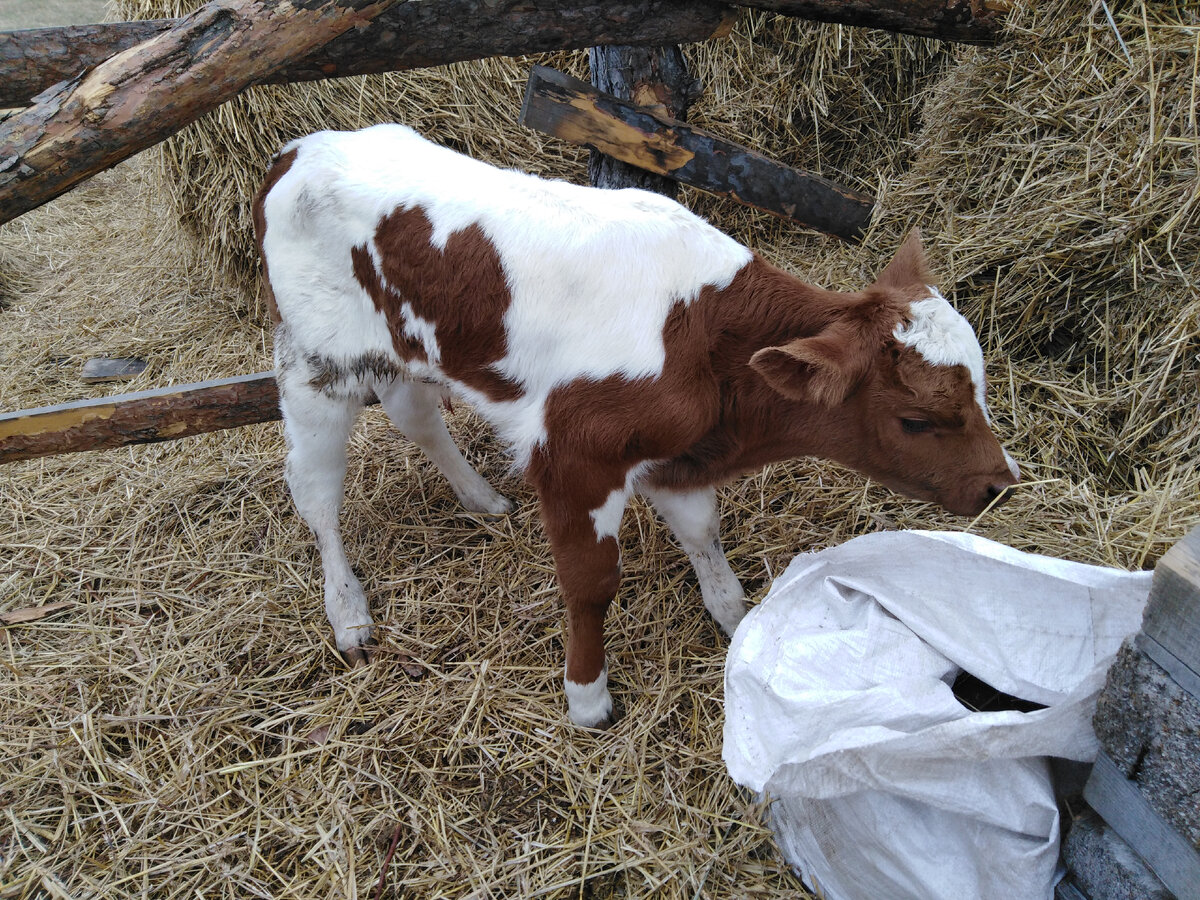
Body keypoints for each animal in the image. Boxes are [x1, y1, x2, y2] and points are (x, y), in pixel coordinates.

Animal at [255, 127, 1022, 729]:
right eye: (916, 420)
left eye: (980, 389)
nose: (1000, 485)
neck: (704, 338)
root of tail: (300, 148)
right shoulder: (575, 456)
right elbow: (592, 583)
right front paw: (587, 696)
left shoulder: (673, 454)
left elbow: (703, 532)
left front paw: (737, 617)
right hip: (316, 363)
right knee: (315, 490)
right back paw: (349, 613)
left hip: (405, 350)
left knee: (413, 416)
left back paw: (481, 499)